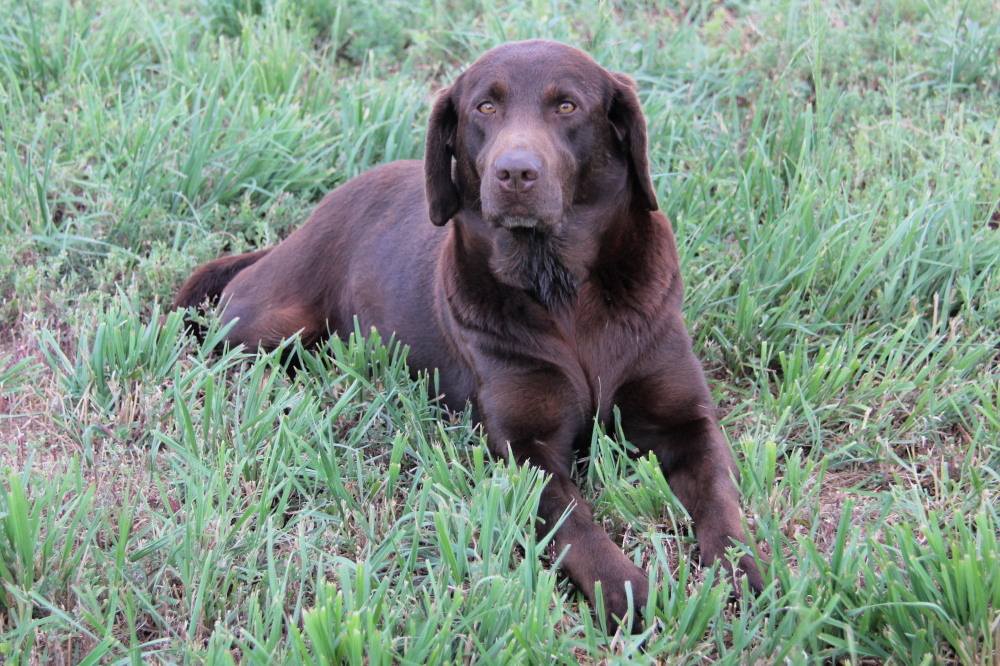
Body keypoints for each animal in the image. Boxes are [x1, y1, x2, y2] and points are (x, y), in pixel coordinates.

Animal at [172, 39, 764, 632]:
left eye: (567, 106)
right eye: (485, 107)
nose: (515, 172)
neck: (559, 286)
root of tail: (299, 229)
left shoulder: (686, 419)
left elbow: (719, 499)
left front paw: (743, 576)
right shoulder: (524, 445)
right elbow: (571, 519)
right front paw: (627, 592)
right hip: (268, 324)